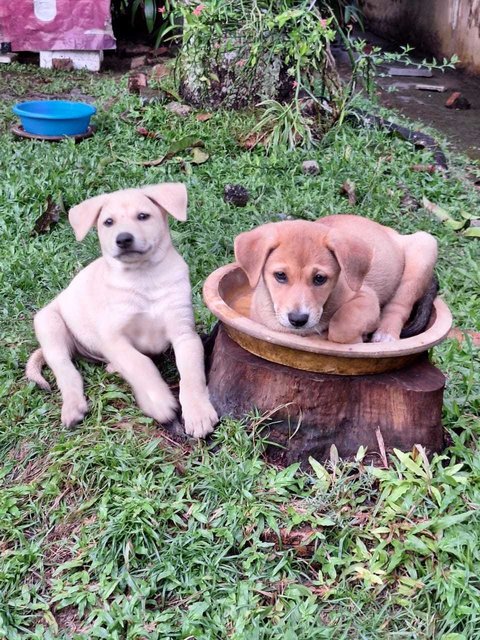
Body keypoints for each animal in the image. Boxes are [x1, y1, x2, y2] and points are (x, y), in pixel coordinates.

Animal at [27, 182, 218, 438]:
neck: (144, 277)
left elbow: (191, 374)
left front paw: (198, 413)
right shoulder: (113, 338)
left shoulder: (185, 333)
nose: (124, 239)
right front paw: (159, 402)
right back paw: (73, 407)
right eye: (108, 222)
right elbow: (141, 365)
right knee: (65, 370)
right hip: (49, 323)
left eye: (143, 216)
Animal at [234, 215, 436, 344]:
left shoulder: (367, 298)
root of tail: (391, 232)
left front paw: (357, 336)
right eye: (280, 275)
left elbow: (341, 327)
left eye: (319, 278)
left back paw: (385, 333)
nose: (298, 319)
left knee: (399, 306)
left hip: (423, 248)